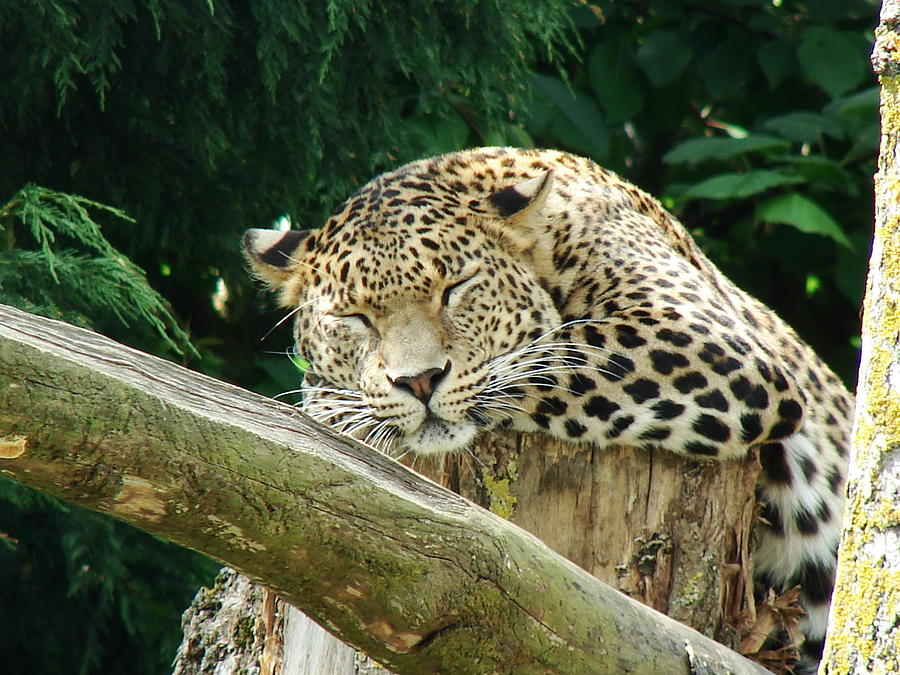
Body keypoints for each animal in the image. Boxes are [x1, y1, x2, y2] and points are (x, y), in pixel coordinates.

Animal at [244, 145, 852, 668]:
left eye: (455, 287)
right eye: (354, 318)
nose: (418, 381)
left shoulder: (701, 339)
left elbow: (543, 357)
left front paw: (335, 409)